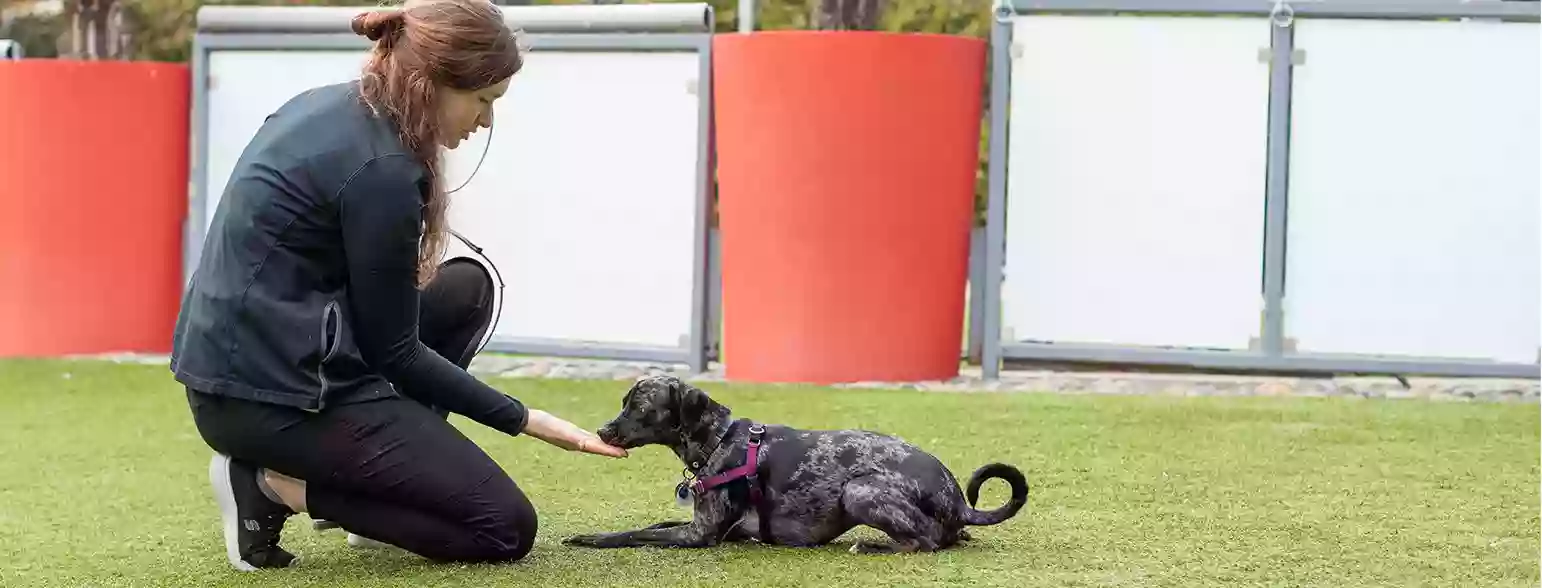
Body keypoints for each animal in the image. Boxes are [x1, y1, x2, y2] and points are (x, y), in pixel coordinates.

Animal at [561, 373, 1030, 552]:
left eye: (640, 407)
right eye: (624, 402)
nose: (603, 431)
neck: (719, 439)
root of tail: (959, 500)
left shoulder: (700, 535)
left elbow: (635, 533)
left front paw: (592, 538)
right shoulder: (708, 526)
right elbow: (655, 523)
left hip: (859, 490)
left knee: (925, 543)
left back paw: (870, 545)